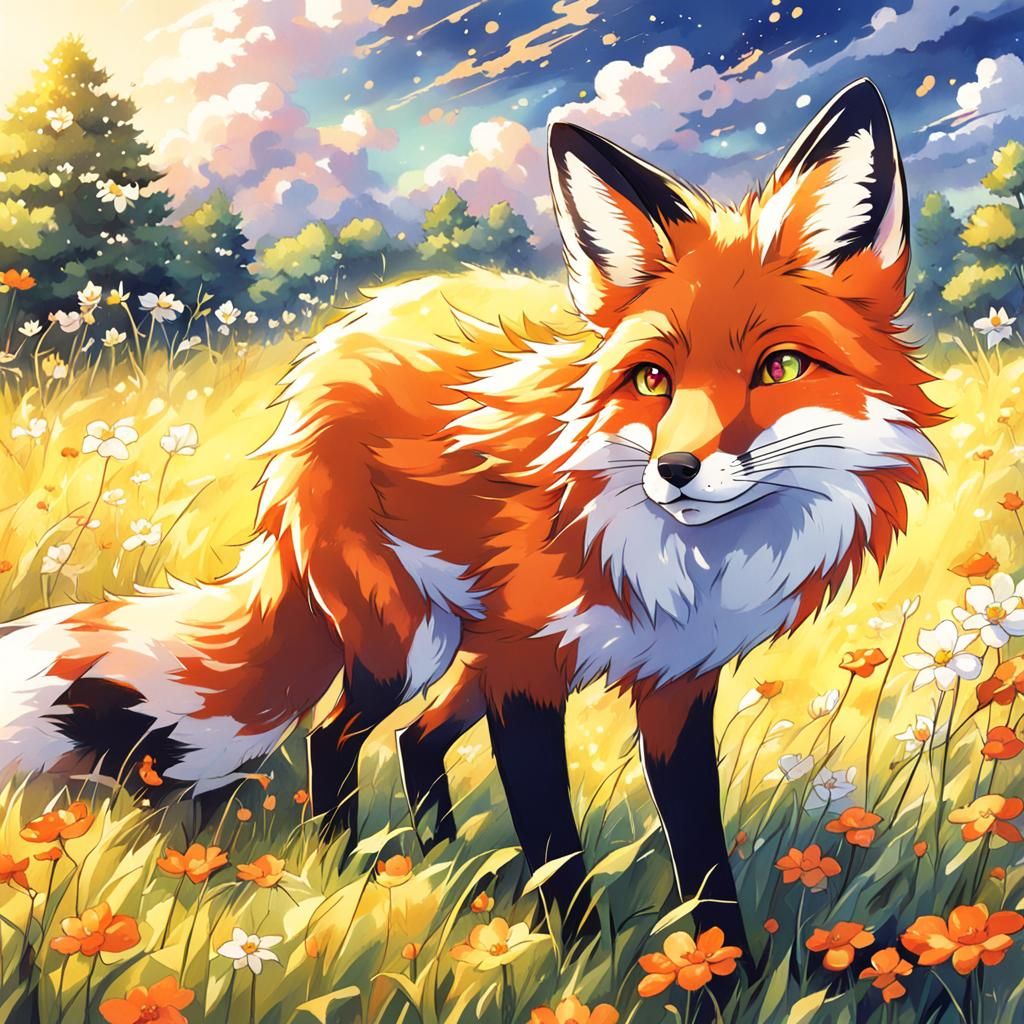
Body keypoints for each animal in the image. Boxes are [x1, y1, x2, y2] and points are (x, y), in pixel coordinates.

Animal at [0, 79, 941, 946]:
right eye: (651, 380)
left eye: (780, 369)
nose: (674, 471)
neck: (686, 568)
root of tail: (329, 350)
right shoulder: (529, 677)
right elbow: (557, 849)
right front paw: (582, 965)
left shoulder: (676, 685)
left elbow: (704, 867)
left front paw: (719, 980)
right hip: (407, 642)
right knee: (336, 735)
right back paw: (350, 870)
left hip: (465, 653)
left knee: (415, 740)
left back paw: (443, 866)